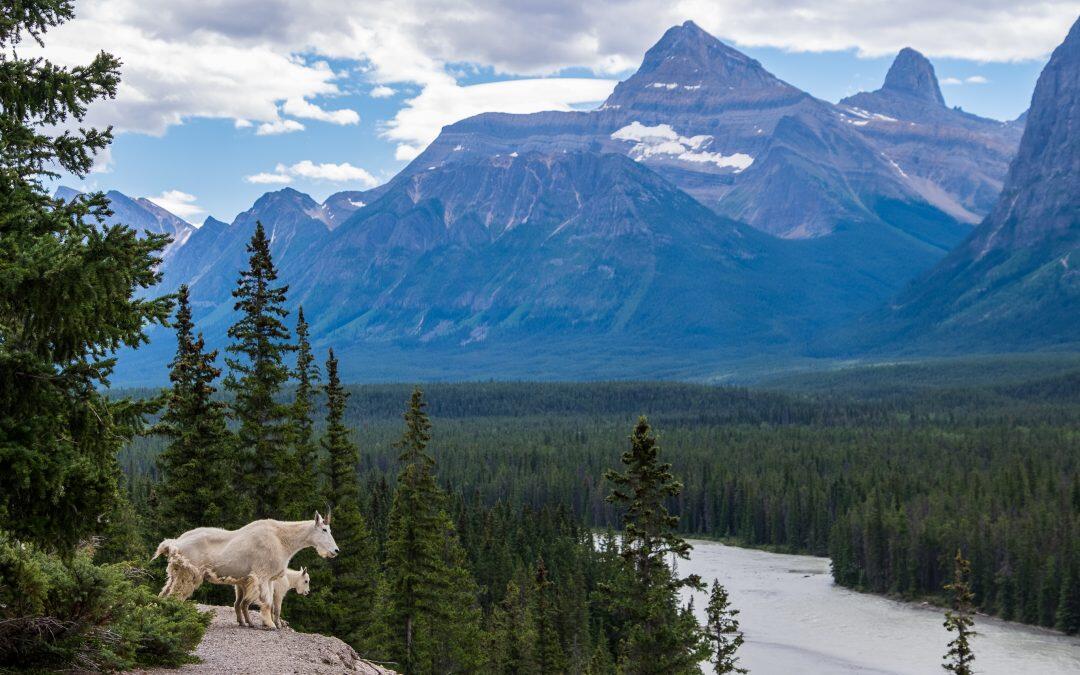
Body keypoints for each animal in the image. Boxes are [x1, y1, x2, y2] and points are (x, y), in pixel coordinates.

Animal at [153, 514, 336, 630]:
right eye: (324, 529)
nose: (336, 550)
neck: (282, 539)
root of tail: (174, 543)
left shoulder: (269, 580)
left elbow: (266, 602)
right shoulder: (262, 575)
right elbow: (268, 602)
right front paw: (270, 625)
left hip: (176, 574)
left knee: (164, 594)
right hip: (188, 573)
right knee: (174, 597)